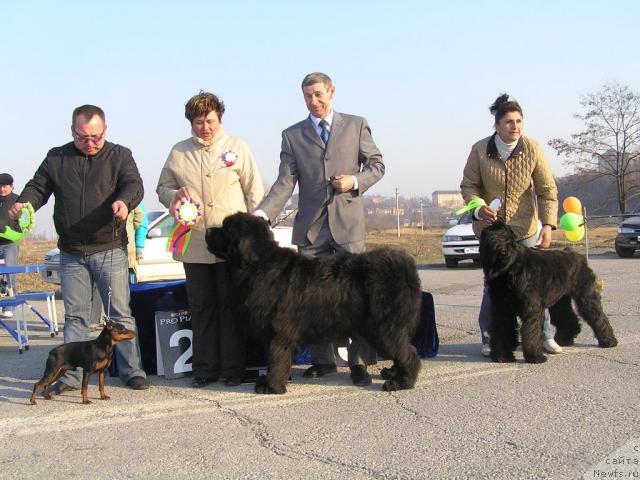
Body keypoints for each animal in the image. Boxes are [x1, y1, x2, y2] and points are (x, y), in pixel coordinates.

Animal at [206, 214, 424, 394]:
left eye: (226, 229)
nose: (207, 230)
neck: (258, 265)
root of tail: (406, 270)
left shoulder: (280, 333)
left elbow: (276, 359)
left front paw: (271, 387)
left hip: (384, 328)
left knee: (408, 353)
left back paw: (400, 383)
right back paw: (392, 373)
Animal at [480, 221, 616, 364]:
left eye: (509, 239)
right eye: (492, 238)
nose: (503, 252)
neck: (510, 271)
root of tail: (578, 256)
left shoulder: (531, 309)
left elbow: (531, 332)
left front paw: (535, 357)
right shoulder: (502, 310)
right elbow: (502, 331)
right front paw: (502, 356)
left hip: (586, 296)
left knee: (597, 316)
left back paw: (609, 341)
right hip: (560, 301)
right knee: (567, 316)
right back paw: (565, 339)